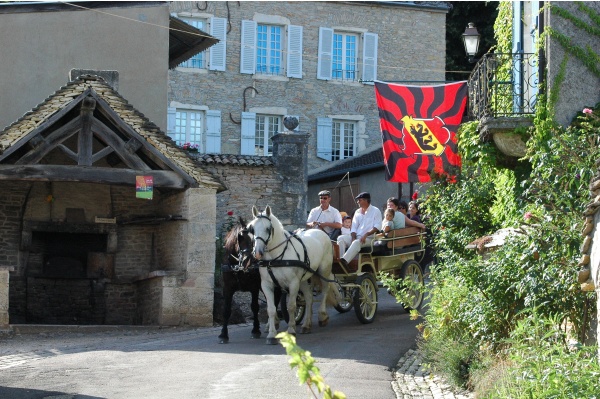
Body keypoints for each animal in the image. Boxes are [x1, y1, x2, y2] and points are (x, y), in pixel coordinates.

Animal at [247, 205, 340, 346]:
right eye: (252, 229)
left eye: (268, 229)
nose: (257, 253)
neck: (276, 258)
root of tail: (321, 232)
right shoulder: (267, 285)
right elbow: (271, 309)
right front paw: (271, 334)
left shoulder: (293, 283)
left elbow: (291, 306)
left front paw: (291, 329)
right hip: (304, 279)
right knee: (309, 297)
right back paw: (306, 325)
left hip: (323, 270)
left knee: (325, 290)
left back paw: (322, 316)